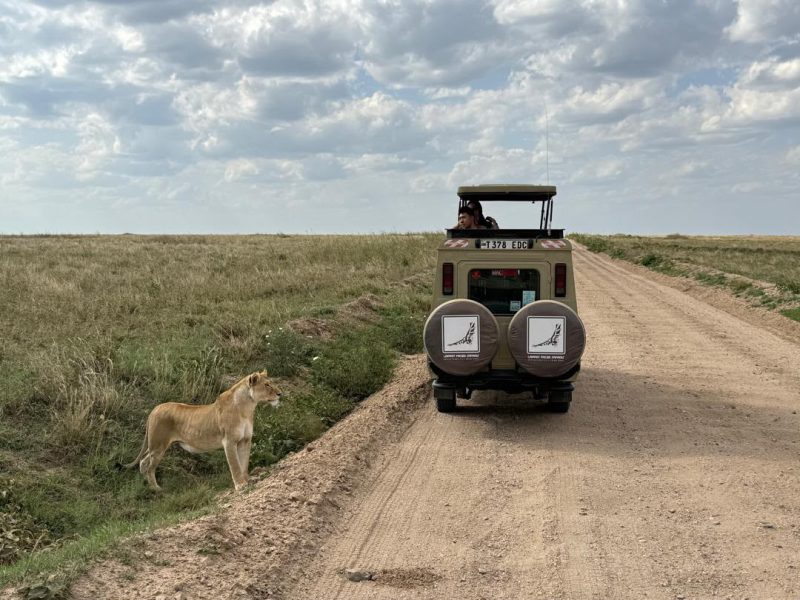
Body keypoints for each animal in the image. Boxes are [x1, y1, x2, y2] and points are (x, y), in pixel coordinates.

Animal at [126, 371, 281, 492]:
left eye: (271, 383)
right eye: (267, 385)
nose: (280, 394)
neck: (247, 408)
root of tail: (155, 409)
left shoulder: (245, 440)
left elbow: (244, 463)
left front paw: (247, 480)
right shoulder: (229, 441)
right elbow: (235, 465)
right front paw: (240, 485)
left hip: (156, 446)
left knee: (143, 461)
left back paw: (144, 484)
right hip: (158, 446)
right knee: (150, 467)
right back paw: (156, 489)